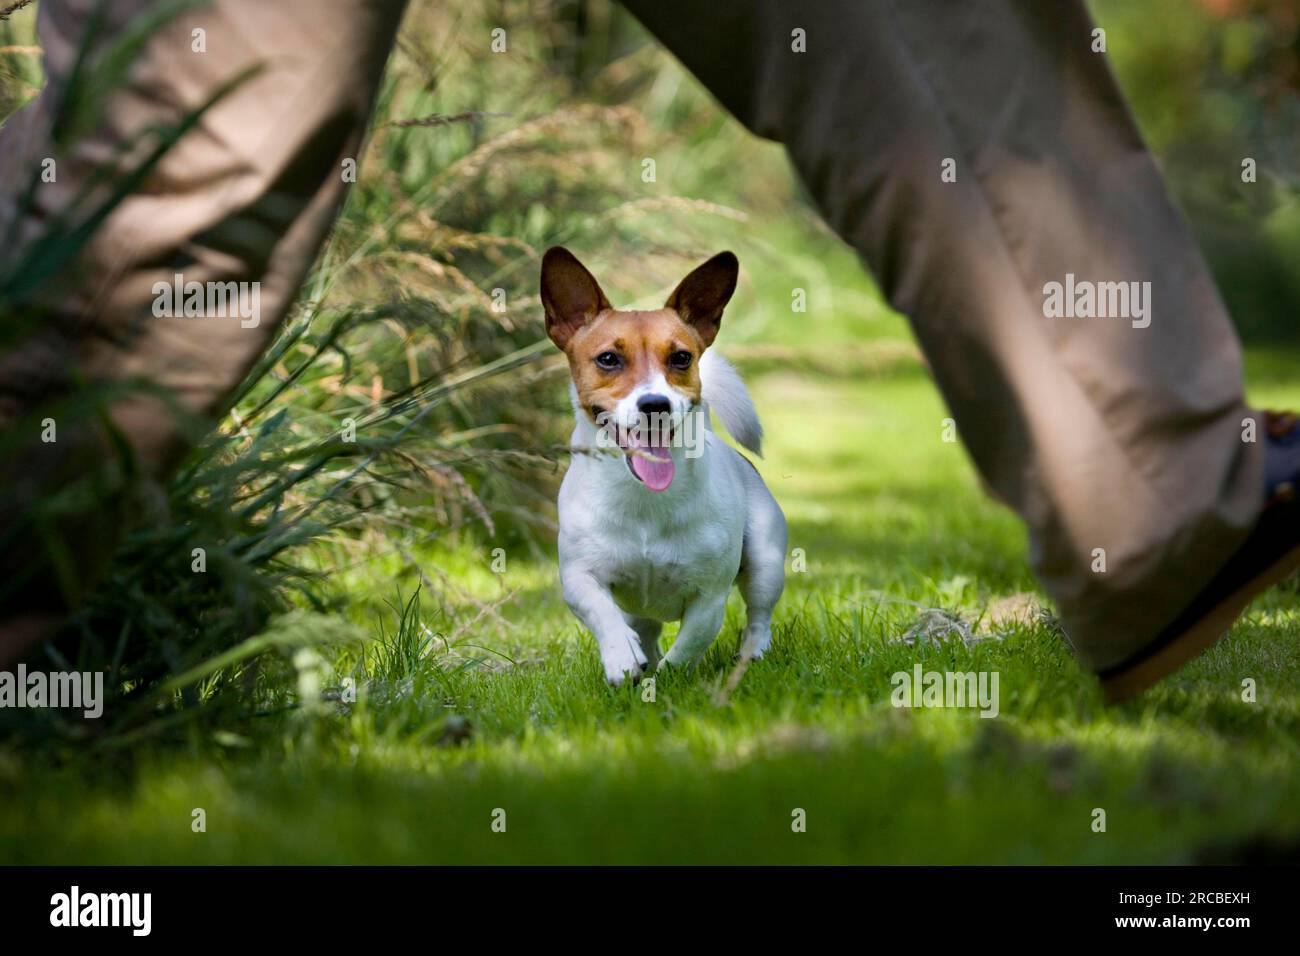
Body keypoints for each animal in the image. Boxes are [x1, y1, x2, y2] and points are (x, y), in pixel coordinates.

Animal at [535, 247, 780, 686]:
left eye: (681, 357)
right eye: (608, 359)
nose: (655, 404)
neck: (643, 499)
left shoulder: (710, 596)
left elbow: (691, 642)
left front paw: (672, 678)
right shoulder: (579, 578)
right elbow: (602, 612)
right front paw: (621, 656)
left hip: (766, 561)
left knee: (759, 615)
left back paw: (752, 653)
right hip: (639, 607)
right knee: (644, 628)